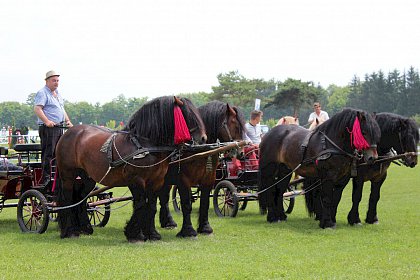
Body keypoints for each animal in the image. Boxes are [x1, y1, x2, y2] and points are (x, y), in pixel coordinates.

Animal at [55, 96, 207, 241]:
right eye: (188, 115)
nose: (203, 139)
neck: (144, 144)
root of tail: (69, 132)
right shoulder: (136, 180)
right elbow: (140, 204)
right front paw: (135, 234)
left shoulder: (156, 181)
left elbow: (151, 206)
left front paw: (152, 234)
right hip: (67, 175)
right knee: (67, 199)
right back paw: (69, 231)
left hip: (87, 177)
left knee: (81, 198)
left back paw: (85, 228)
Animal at [156, 100, 244, 238]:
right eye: (235, 125)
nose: (241, 152)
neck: (199, 149)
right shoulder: (183, 180)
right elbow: (186, 203)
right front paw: (188, 230)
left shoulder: (208, 178)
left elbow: (205, 202)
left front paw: (205, 227)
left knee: (163, 196)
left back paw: (168, 222)